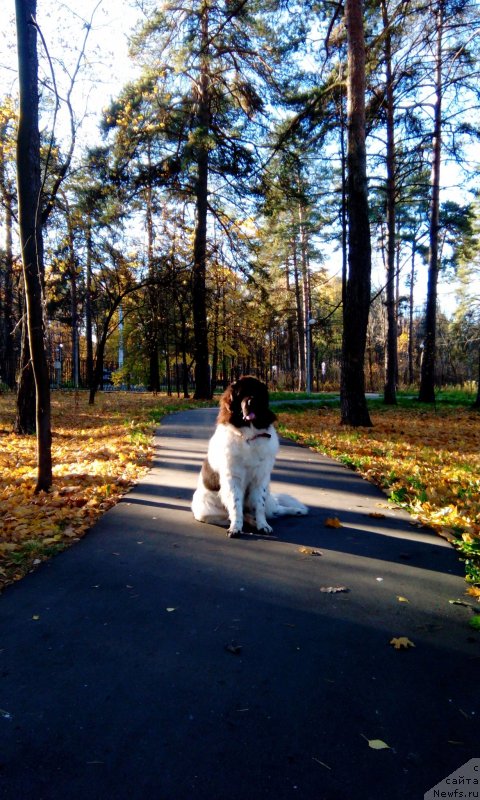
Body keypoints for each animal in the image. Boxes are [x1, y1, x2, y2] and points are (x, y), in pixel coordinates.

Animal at [191, 376, 308, 536]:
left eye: (257, 393)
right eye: (241, 394)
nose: (251, 401)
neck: (249, 435)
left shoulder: (261, 477)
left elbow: (260, 505)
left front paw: (263, 525)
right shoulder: (233, 478)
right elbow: (236, 505)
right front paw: (235, 527)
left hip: (269, 499)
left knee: (276, 508)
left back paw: (298, 510)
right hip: (203, 509)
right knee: (237, 515)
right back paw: (245, 521)